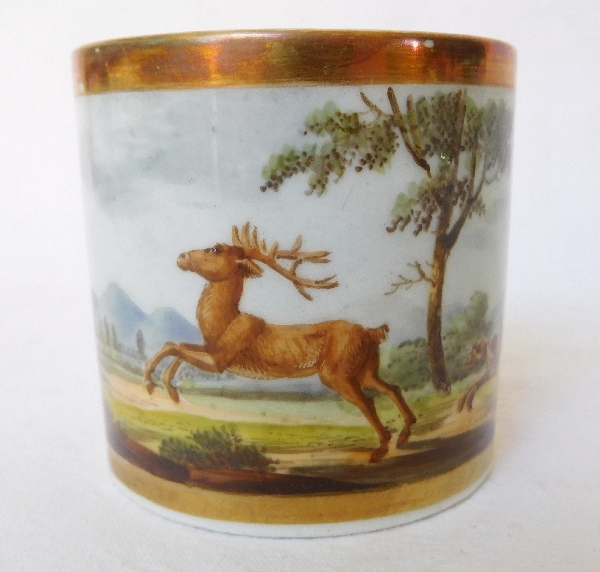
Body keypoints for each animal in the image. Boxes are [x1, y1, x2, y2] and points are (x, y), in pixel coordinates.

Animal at [144, 223, 417, 463]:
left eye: (216, 249)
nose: (182, 256)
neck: (223, 324)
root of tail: (371, 333)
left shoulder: (221, 360)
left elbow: (175, 346)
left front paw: (151, 381)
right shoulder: (211, 350)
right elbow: (178, 345)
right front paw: (170, 390)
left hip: (337, 372)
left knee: (368, 401)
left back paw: (381, 449)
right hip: (364, 369)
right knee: (392, 388)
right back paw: (405, 433)